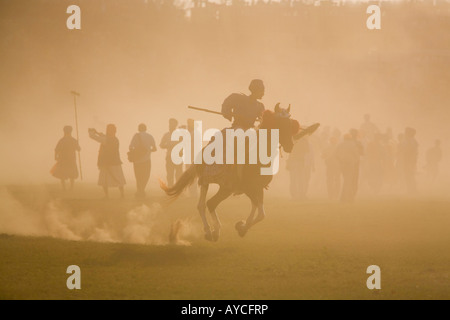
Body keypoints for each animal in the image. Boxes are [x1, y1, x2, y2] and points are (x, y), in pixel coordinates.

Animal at [160, 104, 318, 241]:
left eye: (290, 123)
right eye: (279, 123)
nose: (290, 145)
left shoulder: (256, 188)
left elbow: (260, 212)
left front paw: (242, 227)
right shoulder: (244, 187)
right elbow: (259, 211)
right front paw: (241, 226)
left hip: (213, 184)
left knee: (203, 205)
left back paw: (210, 231)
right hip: (220, 186)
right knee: (209, 204)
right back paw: (214, 231)